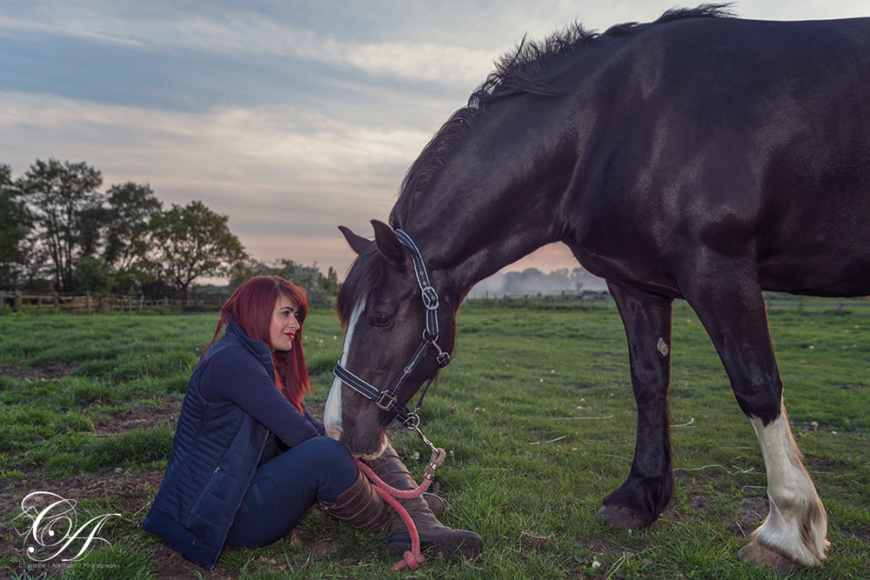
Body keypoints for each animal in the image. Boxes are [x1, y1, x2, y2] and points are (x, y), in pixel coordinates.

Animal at [326, 6, 870, 572]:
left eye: (382, 317)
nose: (336, 430)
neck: (612, 126)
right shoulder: (634, 282)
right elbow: (649, 382)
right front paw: (639, 498)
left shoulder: (718, 266)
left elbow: (757, 387)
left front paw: (787, 529)